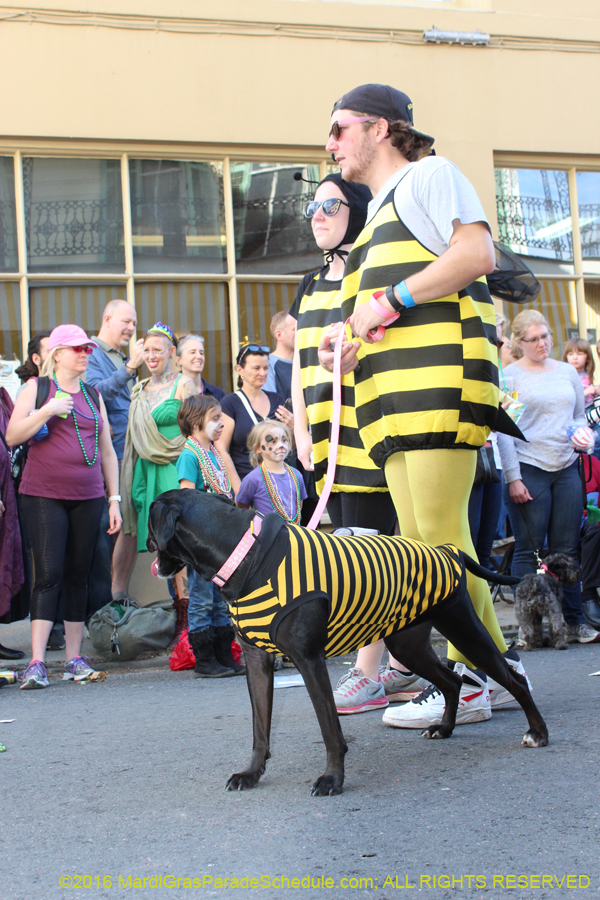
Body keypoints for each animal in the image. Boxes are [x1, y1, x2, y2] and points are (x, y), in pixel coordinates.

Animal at [146, 492, 548, 796]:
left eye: (150, 526)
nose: (149, 553)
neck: (242, 552)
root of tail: (446, 551)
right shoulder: (257, 662)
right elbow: (260, 729)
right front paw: (251, 773)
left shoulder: (309, 660)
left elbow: (329, 728)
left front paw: (332, 779)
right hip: (408, 645)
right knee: (449, 681)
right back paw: (445, 728)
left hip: (464, 628)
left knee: (512, 680)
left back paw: (538, 732)